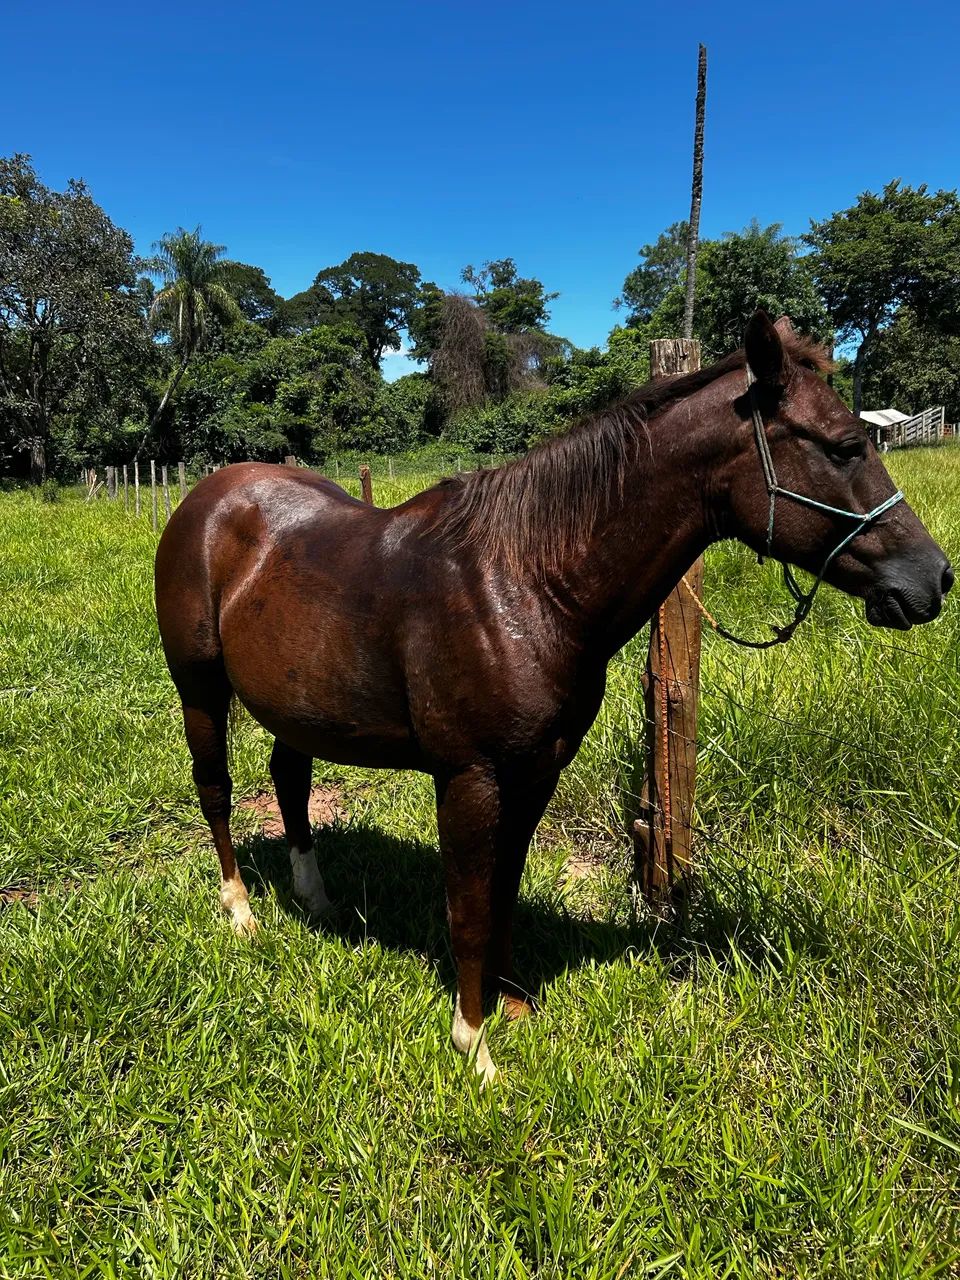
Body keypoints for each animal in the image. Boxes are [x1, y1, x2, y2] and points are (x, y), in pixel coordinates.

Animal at [155, 312, 952, 1083]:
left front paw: (511, 1003)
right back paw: (240, 910)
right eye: (846, 447)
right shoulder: (470, 777)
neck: (528, 583)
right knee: (216, 788)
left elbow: (503, 886)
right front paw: (474, 1045)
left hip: (300, 706)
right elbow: (469, 907)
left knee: (289, 780)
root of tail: (208, 498)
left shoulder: (537, 769)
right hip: (200, 688)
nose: (933, 578)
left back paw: (315, 899)